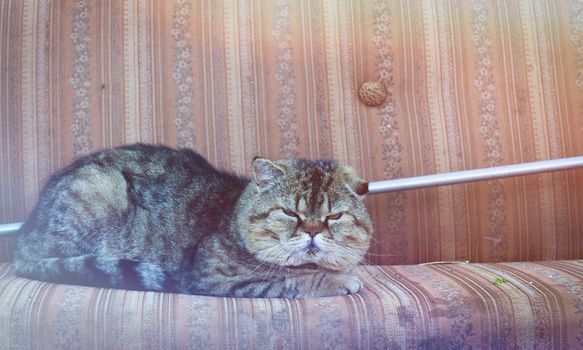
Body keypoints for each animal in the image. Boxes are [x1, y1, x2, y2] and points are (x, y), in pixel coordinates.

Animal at [13, 144, 374, 298]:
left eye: (334, 216)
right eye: (290, 213)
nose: (312, 231)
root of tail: (23, 237)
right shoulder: (214, 277)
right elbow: (292, 279)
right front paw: (338, 280)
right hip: (97, 192)